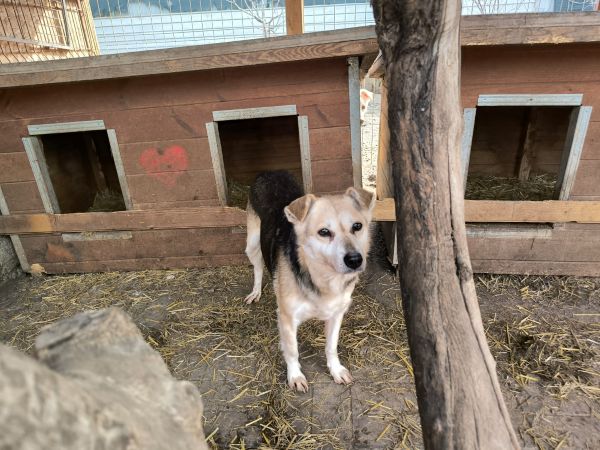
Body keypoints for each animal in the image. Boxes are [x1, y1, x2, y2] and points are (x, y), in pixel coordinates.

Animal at [244, 171, 375, 392]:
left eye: (357, 226)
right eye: (324, 232)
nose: (355, 260)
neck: (323, 278)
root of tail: (269, 172)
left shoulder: (336, 313)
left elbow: (331, 346)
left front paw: (336, 370)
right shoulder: (287, 318)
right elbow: (292, 351)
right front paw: (295, 375)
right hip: (252, 244)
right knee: (258, 267)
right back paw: (256, 291)